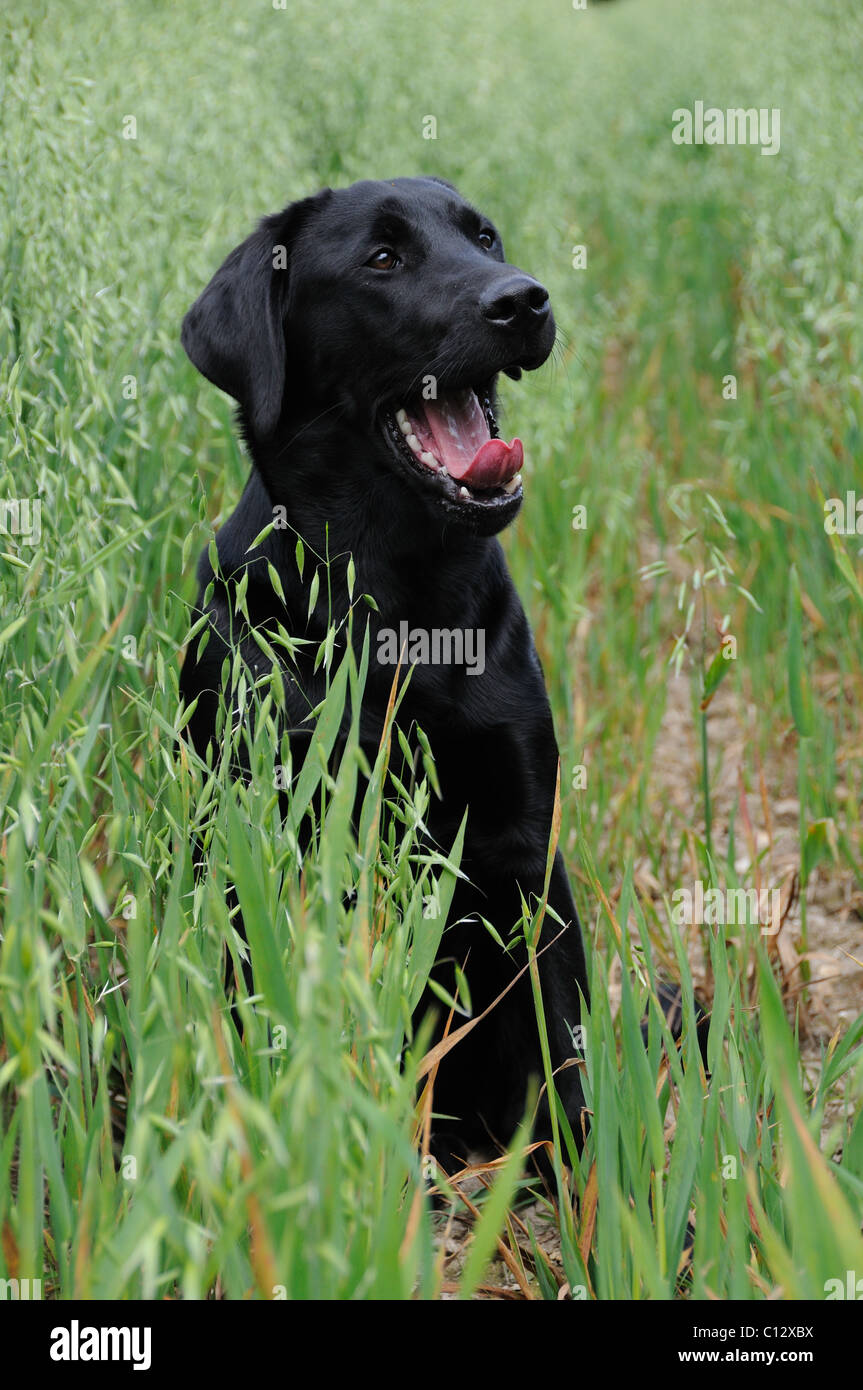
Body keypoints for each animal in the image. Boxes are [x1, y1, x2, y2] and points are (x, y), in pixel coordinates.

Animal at [177, 176, 589, 1173]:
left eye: (484, 238)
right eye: (382, 258)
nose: (523, 300)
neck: (405, 613)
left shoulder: (524, 850)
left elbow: (559, 1056)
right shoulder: (260, 837)